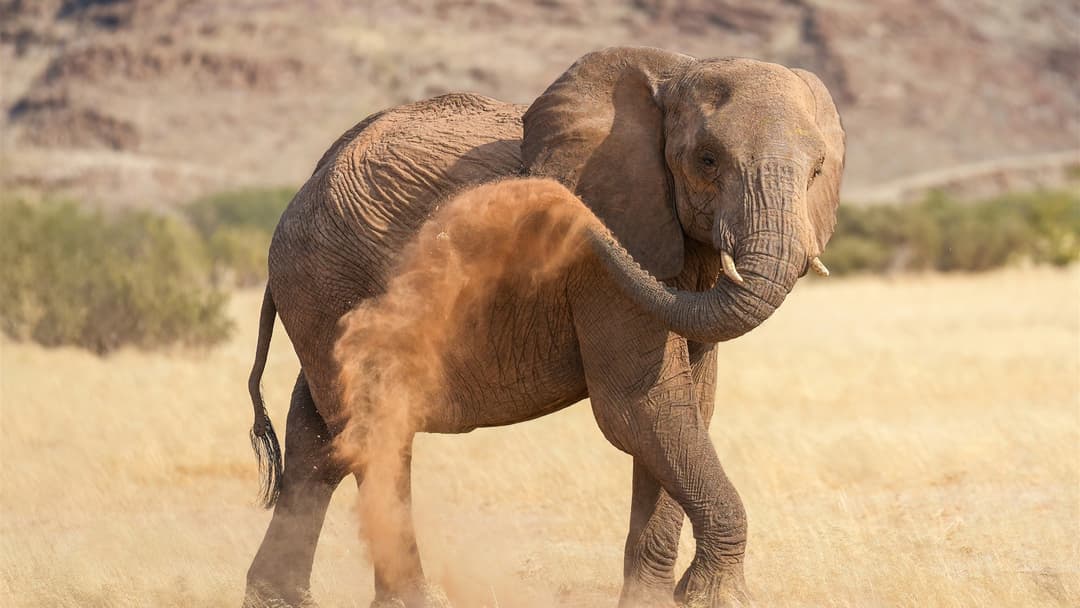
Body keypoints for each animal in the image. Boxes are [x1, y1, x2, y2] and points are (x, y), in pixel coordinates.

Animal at [242, 46, 844, 608]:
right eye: (708, 159)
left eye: (817, 171)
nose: (546, 204)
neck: (674, 72)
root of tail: (307, 183)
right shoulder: (601, 267)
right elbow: (639, 408)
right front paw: (716, 598)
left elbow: (689, 406)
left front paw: (659, 600)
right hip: (325, 279)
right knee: (375, 429)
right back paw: (412, 600)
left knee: (317, 439)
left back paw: (279, 599)